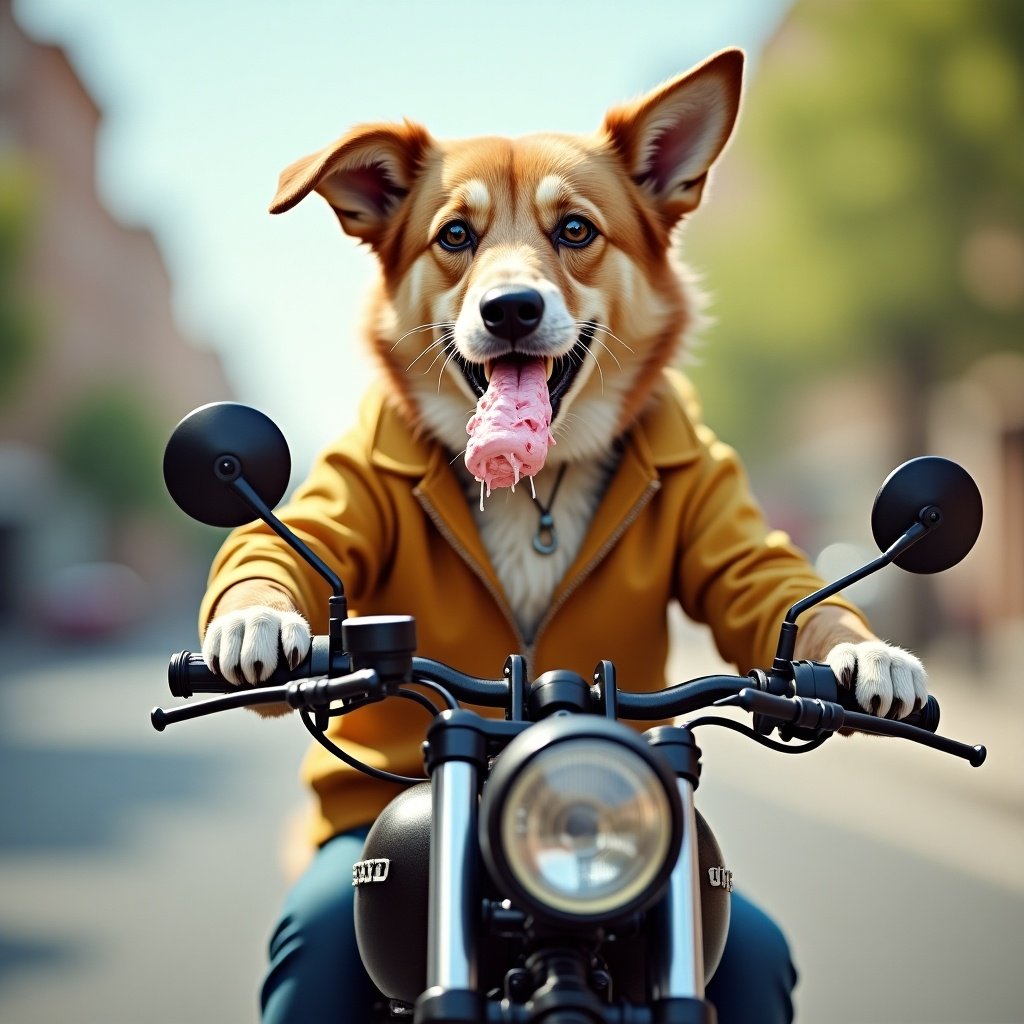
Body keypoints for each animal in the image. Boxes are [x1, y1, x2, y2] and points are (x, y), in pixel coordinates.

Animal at [201, 48, 929, 733]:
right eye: (455, 234)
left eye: (575, 228)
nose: (511, 309)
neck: (537, 489)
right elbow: (277, 544)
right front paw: (256, 617)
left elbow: (772, 583)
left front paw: (868, 651)